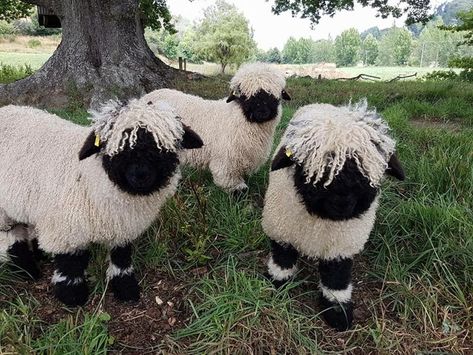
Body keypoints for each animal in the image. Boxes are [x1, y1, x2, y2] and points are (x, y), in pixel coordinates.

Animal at [0, 99, 201, 306]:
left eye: (162, 147)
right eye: (117, 147)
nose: (141, 175)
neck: (91, 179)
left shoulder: (121, 227)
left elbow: (121, 257)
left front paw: (126, 288)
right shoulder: (65, 228)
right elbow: (69, 264)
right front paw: (72, 295)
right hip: (3, 209)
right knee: (12, 236)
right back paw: (26, 270)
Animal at [260, 101, 404, 332]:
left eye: (365, 171)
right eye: (313, 169)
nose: (342, 203)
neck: (321, 221)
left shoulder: (341, 246)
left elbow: (336, 276)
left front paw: (338, 311)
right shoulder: (281, 229)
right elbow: (282, 258)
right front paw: (277, 283)